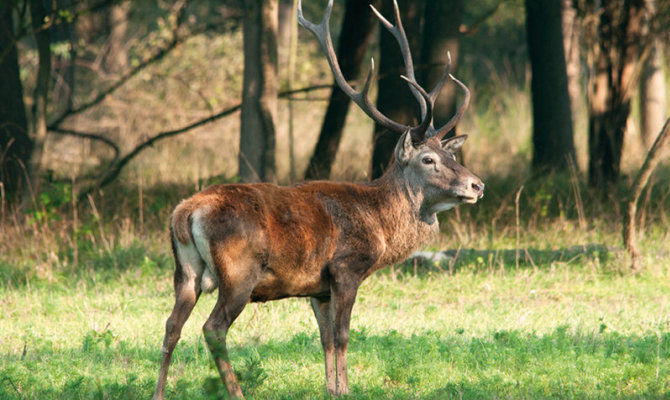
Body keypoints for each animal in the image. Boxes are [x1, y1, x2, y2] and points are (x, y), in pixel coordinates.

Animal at [155, 0, 486, 400]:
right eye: (428, 160)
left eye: (450, 154)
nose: (476, 185)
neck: (381, 225)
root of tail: (186, 213)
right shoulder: (346, 267)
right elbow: (343, 335)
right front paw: (346, 389)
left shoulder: (317, 287)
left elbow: (325, 338)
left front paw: (332, 388)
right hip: (238, 271)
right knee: (213, 329)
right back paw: (237, 392)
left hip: (185, 271)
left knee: (171, 326)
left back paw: (158, 392)